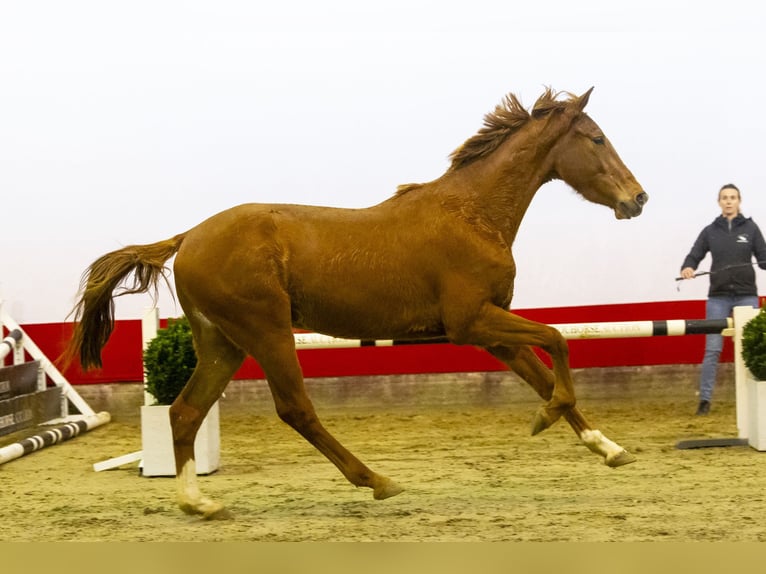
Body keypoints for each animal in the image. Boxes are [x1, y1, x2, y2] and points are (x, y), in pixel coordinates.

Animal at [70, 86, 648, 520]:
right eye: (596, 137)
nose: (638, 198)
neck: (472, 214)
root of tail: (186, 237)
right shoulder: (472, 323)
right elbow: (557, 341)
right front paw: (544, 420)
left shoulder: (492, 329)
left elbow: (544, 373)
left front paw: (608, 448)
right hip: (266, 331)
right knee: (295, 409)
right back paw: (377, 480)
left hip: (222, 343)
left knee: (187, 411)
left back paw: (199, 503)